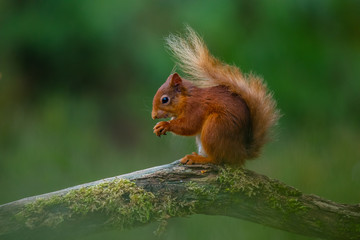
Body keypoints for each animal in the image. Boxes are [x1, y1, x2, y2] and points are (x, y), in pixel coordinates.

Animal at [150, 26, 280, 165]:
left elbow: (189, 125)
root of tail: (240, 154)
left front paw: (165, 125)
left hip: (214, 128)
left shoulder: (196, 108)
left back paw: (197, 158)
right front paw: (159, 126)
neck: (187, 99)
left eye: (165, 99)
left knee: (216, 159)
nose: (153, 116)